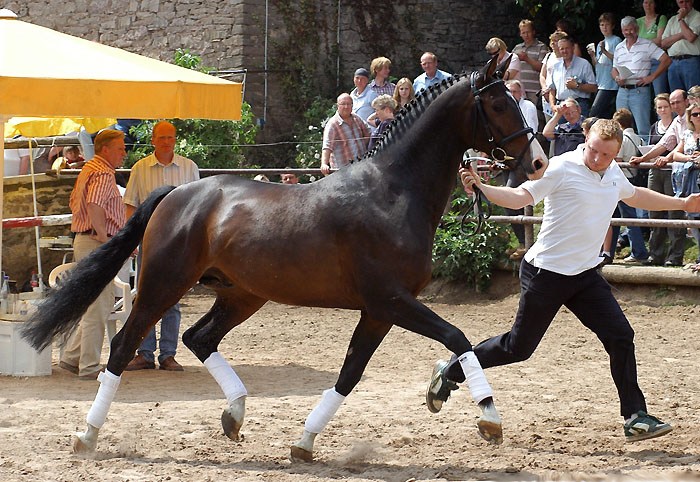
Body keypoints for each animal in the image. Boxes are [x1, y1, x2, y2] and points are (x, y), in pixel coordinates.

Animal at [20, 57, 548, 464]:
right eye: (498, 104)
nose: (538, 162)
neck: (393, 193)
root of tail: (176, 193)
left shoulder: (377, 311)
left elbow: (350, 375)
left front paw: (305, 444)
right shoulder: (392, 301)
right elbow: (457, 337)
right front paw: (487, 416)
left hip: (241, 295)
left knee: (198, 337)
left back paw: (234, 415)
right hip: (161, 286)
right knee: (123, 347)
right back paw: (87, 436)